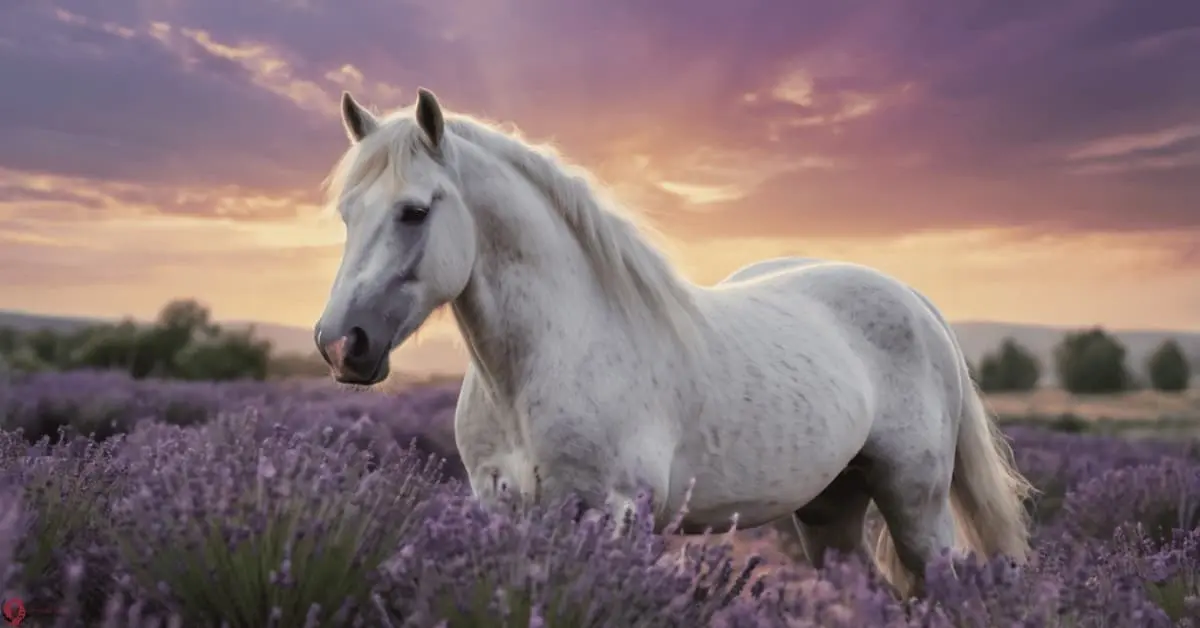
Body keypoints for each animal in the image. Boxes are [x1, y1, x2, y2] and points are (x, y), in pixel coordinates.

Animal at [312, 87, 1034, 597]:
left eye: (414, 212)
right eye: (346, 215)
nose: (341, 345)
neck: (544, 360)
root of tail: (913, 299)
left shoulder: (612, 517)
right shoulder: (500, 510)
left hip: (917, 507)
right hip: (830, 513)